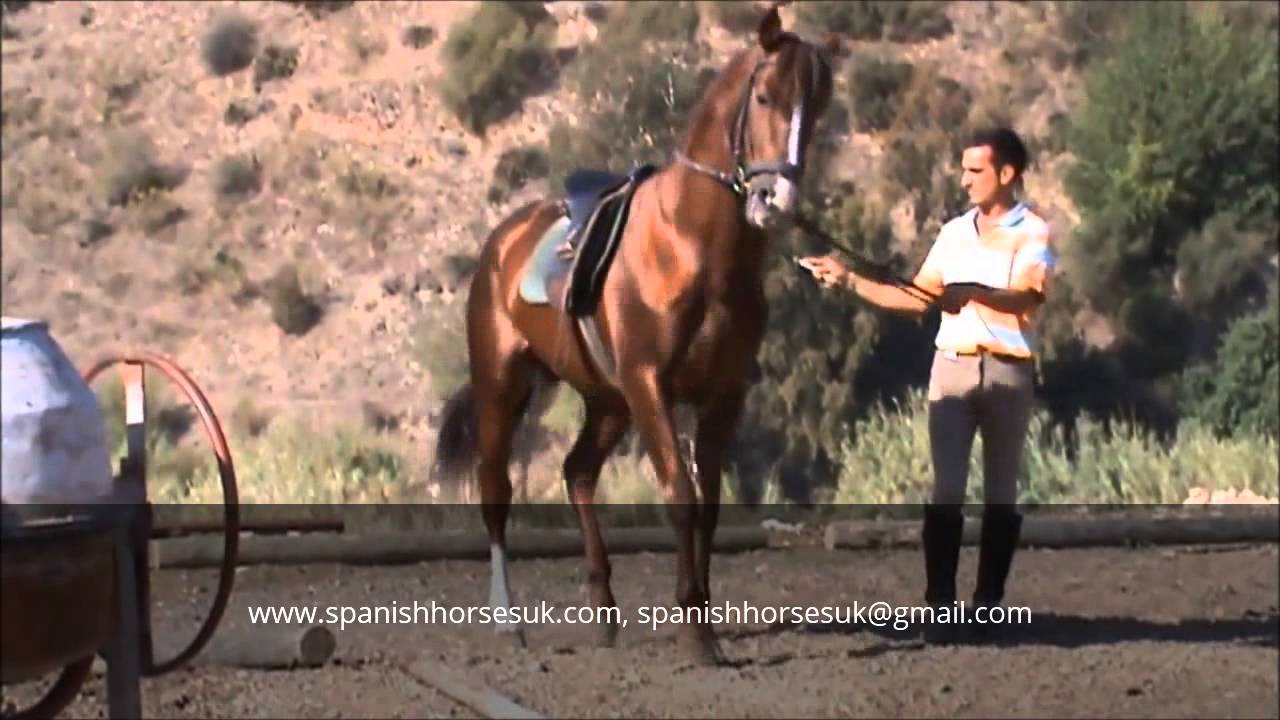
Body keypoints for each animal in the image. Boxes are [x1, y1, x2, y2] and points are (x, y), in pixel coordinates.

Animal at [429, 2, 837, 666]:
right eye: (766, 97)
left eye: (819, 106)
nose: (776, 200)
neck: (692, 244)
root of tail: (504, 240)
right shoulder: (651, 385)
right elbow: (681, 495)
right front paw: (695, 631)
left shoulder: (722, 396)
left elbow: (709, 504)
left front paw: (703, 619)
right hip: (503, 386)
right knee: (497, 491)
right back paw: (508, 620)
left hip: (607, 401)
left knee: (578, 471)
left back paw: (604, 612)